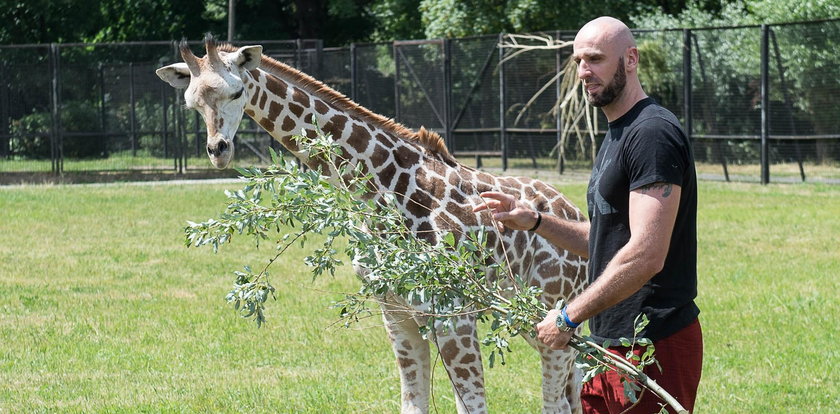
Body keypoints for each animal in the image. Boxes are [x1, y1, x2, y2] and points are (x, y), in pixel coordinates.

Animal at [158, 36, 588, 414]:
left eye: (236, 92)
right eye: (192, 103)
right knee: (576, 385)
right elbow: (412, 403)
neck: (382, 192)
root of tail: (577, 213)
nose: (218, 150)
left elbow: (474, 405)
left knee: (557, 400)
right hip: (528, 317)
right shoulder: (396, 313)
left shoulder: (454, 314)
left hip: (547, 314)